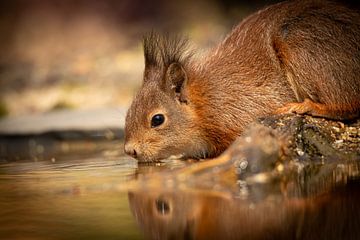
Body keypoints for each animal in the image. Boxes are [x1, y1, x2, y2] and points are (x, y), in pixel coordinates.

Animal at [124, 0, 360, 162]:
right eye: (127, 113)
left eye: (157, 119)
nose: (130, 150)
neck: (204, 103)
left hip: (306, 48)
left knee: (348, 106)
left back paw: (306, 106)